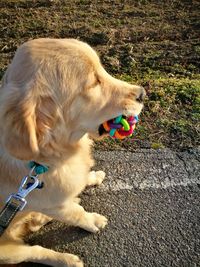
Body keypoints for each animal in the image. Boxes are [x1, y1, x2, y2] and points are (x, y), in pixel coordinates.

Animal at [0, 38, 145, 267]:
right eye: (93, 83)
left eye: (102, 70)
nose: (142, 93)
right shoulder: (54, 205)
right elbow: (77, 214)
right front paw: (92, 220)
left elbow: (81, 179)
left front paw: (92, 176)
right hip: (8, 251)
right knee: (34, 250)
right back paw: (67, 259)